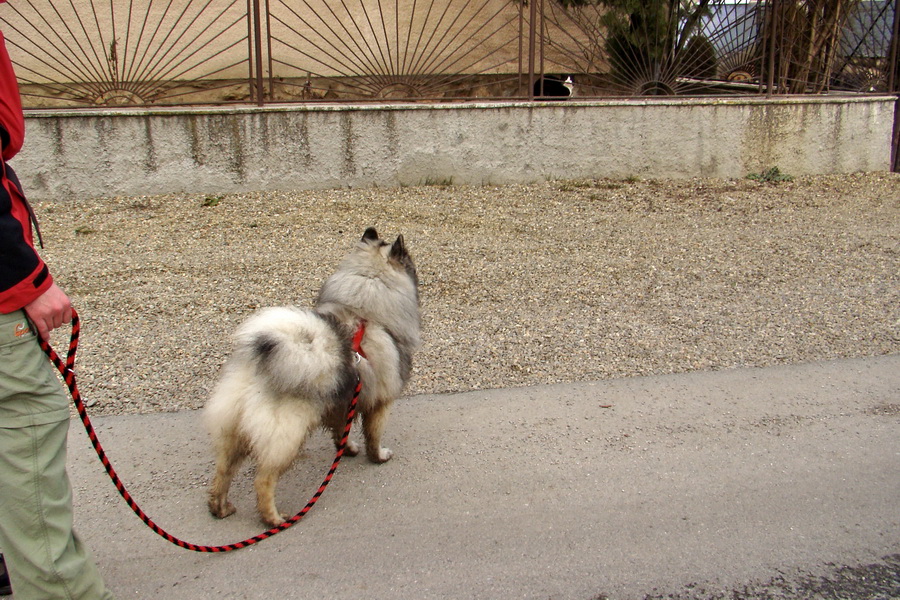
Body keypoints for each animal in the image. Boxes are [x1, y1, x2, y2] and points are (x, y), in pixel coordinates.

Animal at [207, 229, 422, 524]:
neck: (364, 313)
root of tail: (256, 368)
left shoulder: (342, 403)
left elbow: (341, 432)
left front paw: (348, 450)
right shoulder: (381, 404)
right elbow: (373, 436)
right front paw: (378, 456)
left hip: (233, 432)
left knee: (223, 472)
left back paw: (220, 507)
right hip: (286, 437)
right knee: (263, 480)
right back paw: (274, 518)